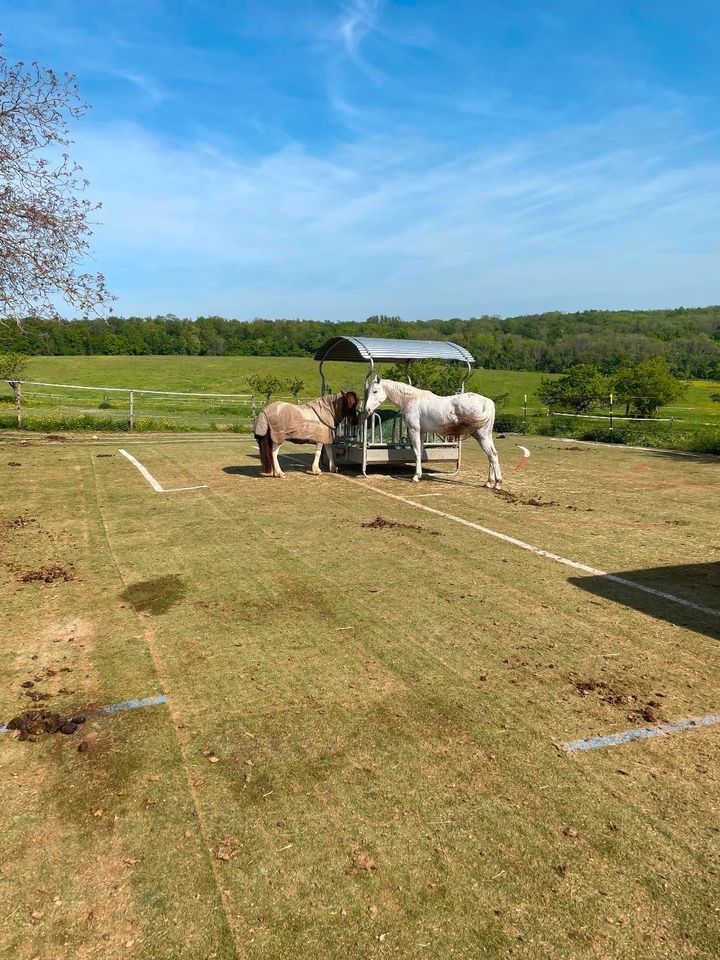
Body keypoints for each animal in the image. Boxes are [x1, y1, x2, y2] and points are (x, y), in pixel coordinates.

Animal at [362, 376, 504, 488]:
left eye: (375, 391)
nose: (367, 410)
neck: (411, 400)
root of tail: (487, 402)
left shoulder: (414, 430)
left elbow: (417, 452)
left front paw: (416, 476)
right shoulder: (422, 433)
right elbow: (420, 452)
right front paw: (419, 474)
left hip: (482, 435)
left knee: (492, 455)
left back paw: (497, 483)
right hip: (484, 436)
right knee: (491, 455)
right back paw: (489, 482)